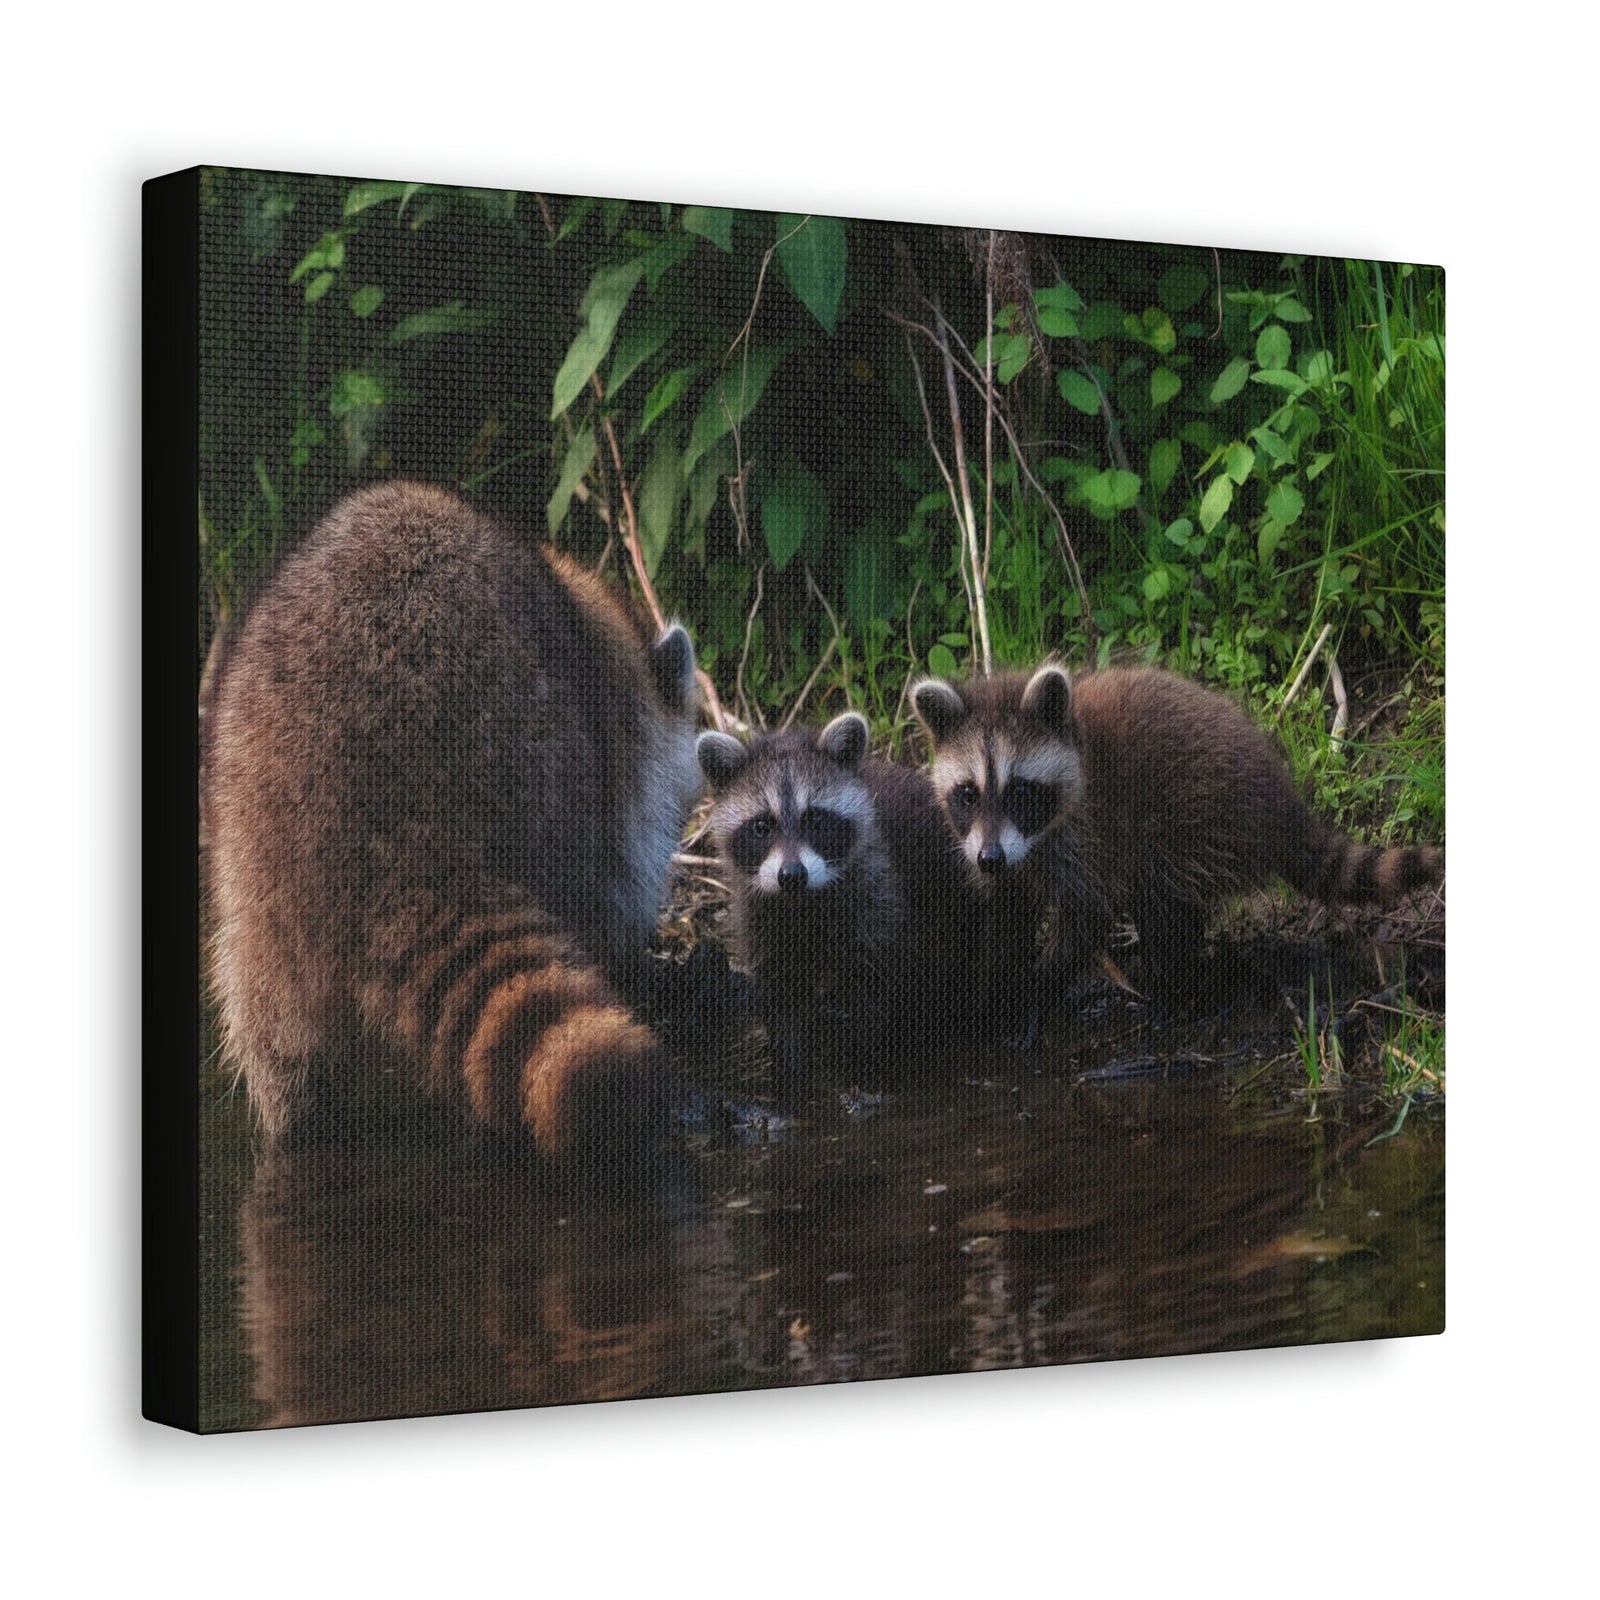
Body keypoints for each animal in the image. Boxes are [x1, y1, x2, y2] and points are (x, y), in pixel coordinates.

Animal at [695, 713, 1012, 1085]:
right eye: (761, 826)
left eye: (815, 819)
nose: (792, 875)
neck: (805, 899)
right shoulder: (761, 916)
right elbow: (783, 998)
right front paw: (791, 1075)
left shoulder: (876, 898)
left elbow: (872, 994)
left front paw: (859, 1071)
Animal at [912, 663, 1443, 1005]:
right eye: (967, 793)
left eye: (1020, 790)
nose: (990, 859)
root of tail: (1282, 804)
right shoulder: (995, 849)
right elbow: (1005, 910)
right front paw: (997, 973)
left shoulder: (1092, 838)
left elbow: (1088, 917)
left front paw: (1039, 980)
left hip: (1200, 821)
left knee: (1165, 899)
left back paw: (1171, 977)